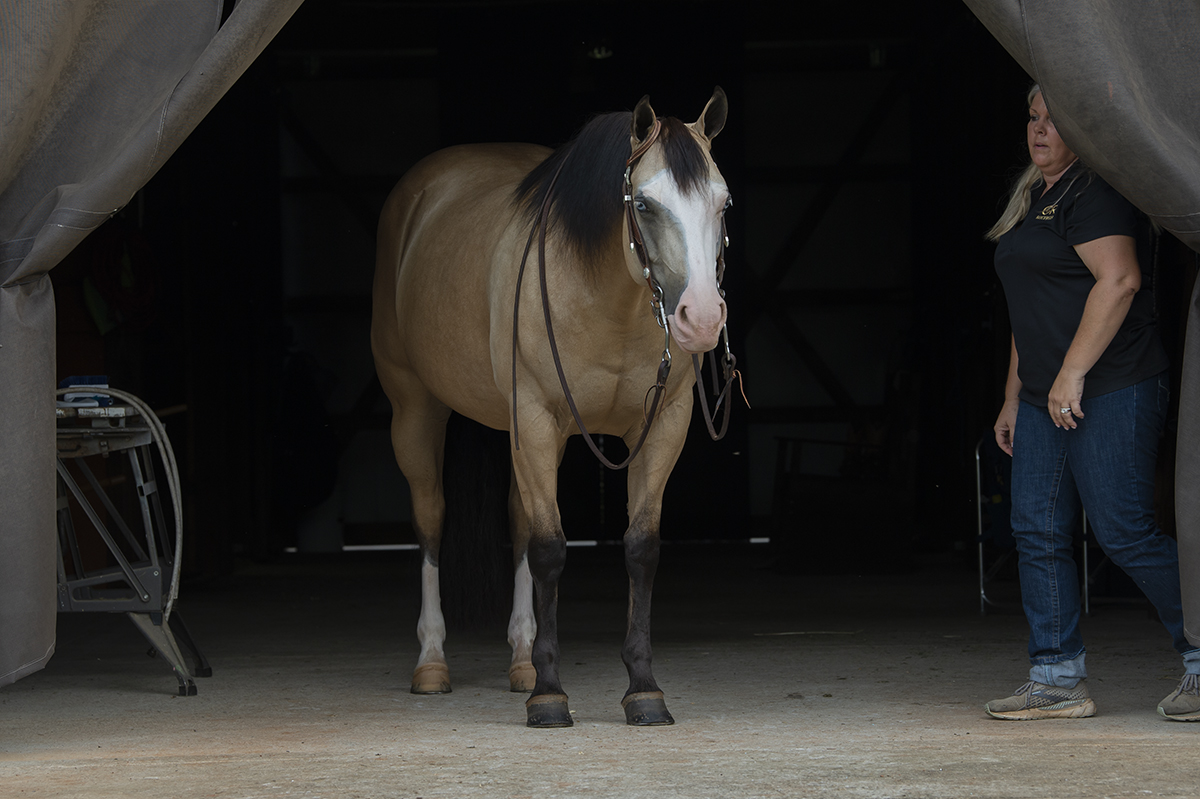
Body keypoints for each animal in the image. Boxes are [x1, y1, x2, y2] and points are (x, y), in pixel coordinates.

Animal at [369, 88, 734, 729]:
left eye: (724, 202)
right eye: (644, 203)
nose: (702, 318)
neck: (609, 299)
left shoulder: (661, 427)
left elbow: (639, 549)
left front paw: (643, 688)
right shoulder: (536, 418)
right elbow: (549, 548)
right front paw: (549, 695)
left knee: (519, 521)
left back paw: (519, 660)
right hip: (416, 410)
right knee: (433, 521)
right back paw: (433, 662)